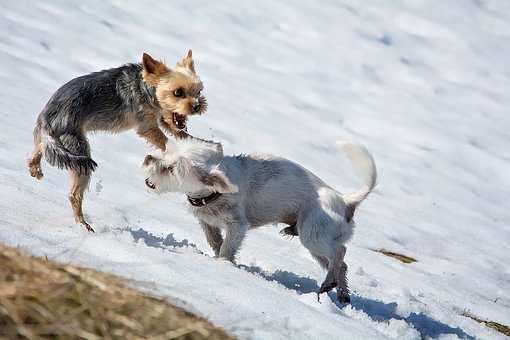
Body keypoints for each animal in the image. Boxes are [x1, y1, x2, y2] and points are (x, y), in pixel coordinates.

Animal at [27, 49, 207, 231]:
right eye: (178, 92)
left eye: (198, 92)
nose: (197, 106)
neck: (147, 87)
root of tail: (47, 118)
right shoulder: (147, 126)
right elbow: (166, 142)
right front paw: (181, 152)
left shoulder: (163, 117)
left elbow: (178, 131)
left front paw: (198, 142)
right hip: (78, 148)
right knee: (74, 194)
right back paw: (83, 223)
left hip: (51, 140)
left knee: (36, 151)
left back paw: (35, 169)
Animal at [142, 137, 374, 302]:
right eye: (167, 152)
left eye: (171, 169)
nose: (149, 158)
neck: (214, 193)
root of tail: (346, 201)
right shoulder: (207, 223)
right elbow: (215, 241)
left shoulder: (237, 226)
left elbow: (226, 248)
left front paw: (224, 264)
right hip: (316, 245)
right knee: (341, 265)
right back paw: (341, 293)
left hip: (312, 236)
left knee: (340, 252)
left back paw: (328, 284)